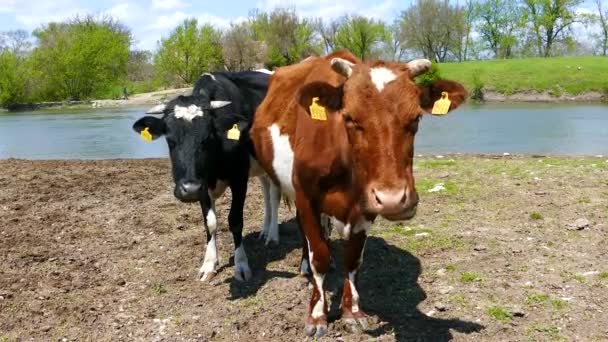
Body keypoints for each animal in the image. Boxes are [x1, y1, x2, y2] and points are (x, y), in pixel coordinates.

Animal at [133, 70, 280, 280]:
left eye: (208, 136)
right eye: (170, 139)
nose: (189, 190)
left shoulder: (239, 179)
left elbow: (235, 220)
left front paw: (241, 265)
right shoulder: (202, 186)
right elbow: (210, 222)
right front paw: (209, 264)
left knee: (274, 196)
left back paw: (273, 235)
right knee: (266, 192)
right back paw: (265, 231)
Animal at [249, 50, 468, 336]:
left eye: (416, 118)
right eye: (350, 117)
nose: (393, 200)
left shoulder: (366, 208)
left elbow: (352, 259)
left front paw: (351, 312)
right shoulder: (306, 197)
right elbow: (318, 255)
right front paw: (317, 315)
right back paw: (305, 266)